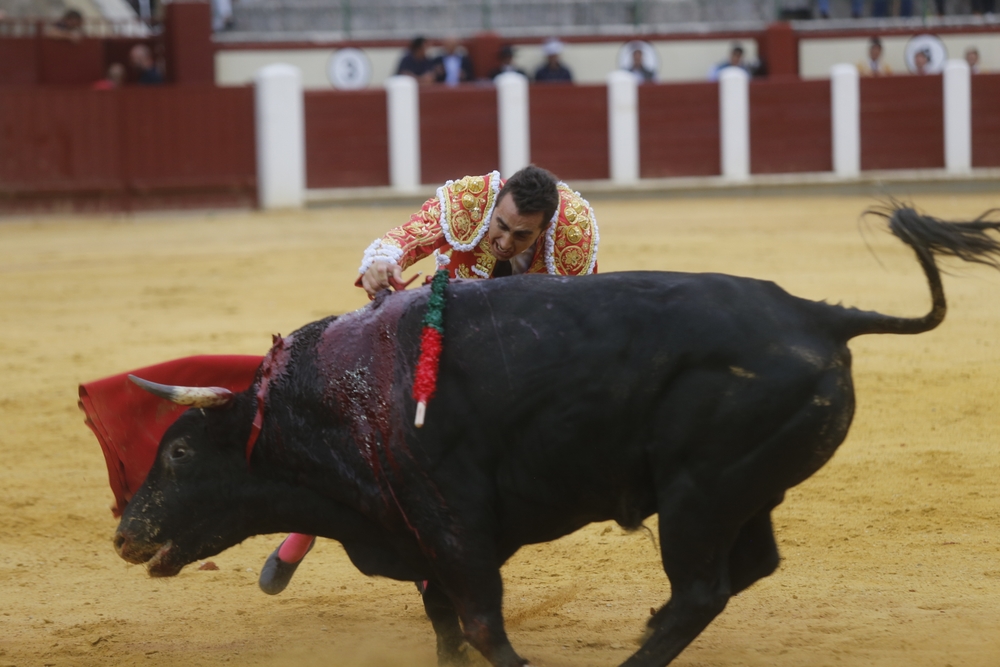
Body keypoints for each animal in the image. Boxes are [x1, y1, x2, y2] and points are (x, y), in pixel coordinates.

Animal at [111, 206, 1000, 664]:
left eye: (180, 451)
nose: (123, 533)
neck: (336, 399)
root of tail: (820, 314)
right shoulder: (419, 531)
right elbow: (445, 621)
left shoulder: (453, 524)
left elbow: (480, 622)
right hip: (745, 488)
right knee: (746, 568)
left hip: (699, 494)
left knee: (703, 589)